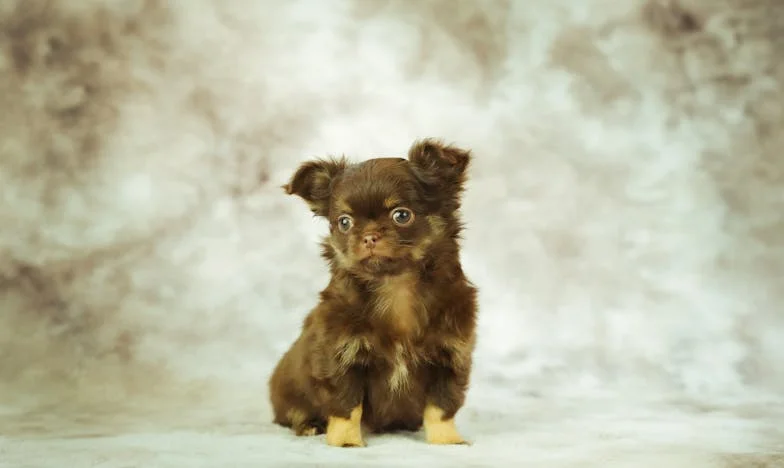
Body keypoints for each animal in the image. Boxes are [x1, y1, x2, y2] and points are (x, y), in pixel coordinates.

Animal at [270, 138, 478, 446]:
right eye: (344, 222)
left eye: (401, 215)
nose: (368, 236)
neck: (395, 286)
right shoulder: (339, 357)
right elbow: (347, 406)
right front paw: (345, 441)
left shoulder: (450, 357)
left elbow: (441, 406)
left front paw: (446, 440)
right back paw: (310, 424)